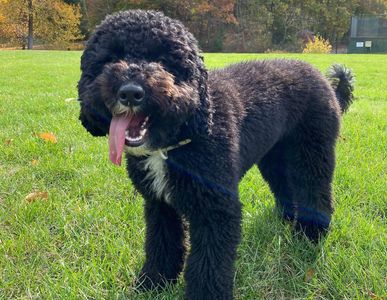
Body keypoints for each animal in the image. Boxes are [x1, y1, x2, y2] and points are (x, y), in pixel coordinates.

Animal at [78, 9, 354, 300]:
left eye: (163, 60)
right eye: (111, 57)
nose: (130, 92)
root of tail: (327, 83)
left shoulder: (216, 210)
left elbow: (209, 265)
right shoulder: (159, 204)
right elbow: (161, 245)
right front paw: (153, 283)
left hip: (312, 151)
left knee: (315, 190)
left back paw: (311, 235)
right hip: (275, 157)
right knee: (287, 187)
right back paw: (290, 219)